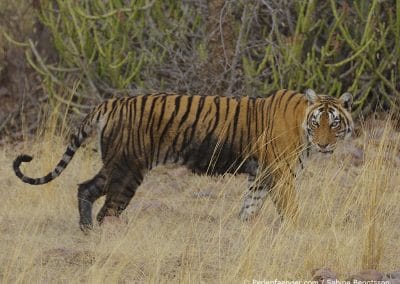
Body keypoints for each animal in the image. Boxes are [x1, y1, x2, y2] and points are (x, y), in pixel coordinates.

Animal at [11, 90, 354, 232]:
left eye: (334, 123)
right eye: (317, 123)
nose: (324, 144)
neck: (301, 124)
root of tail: (111, 102)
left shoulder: (260, 174)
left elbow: (250, 205)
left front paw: (243, 228)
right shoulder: (280, 173)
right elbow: (290, 208)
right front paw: (296, 231)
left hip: (115, 164)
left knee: (86, 188)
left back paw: (86, 232)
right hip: (127, 168)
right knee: (108, 209)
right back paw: (109, 234)